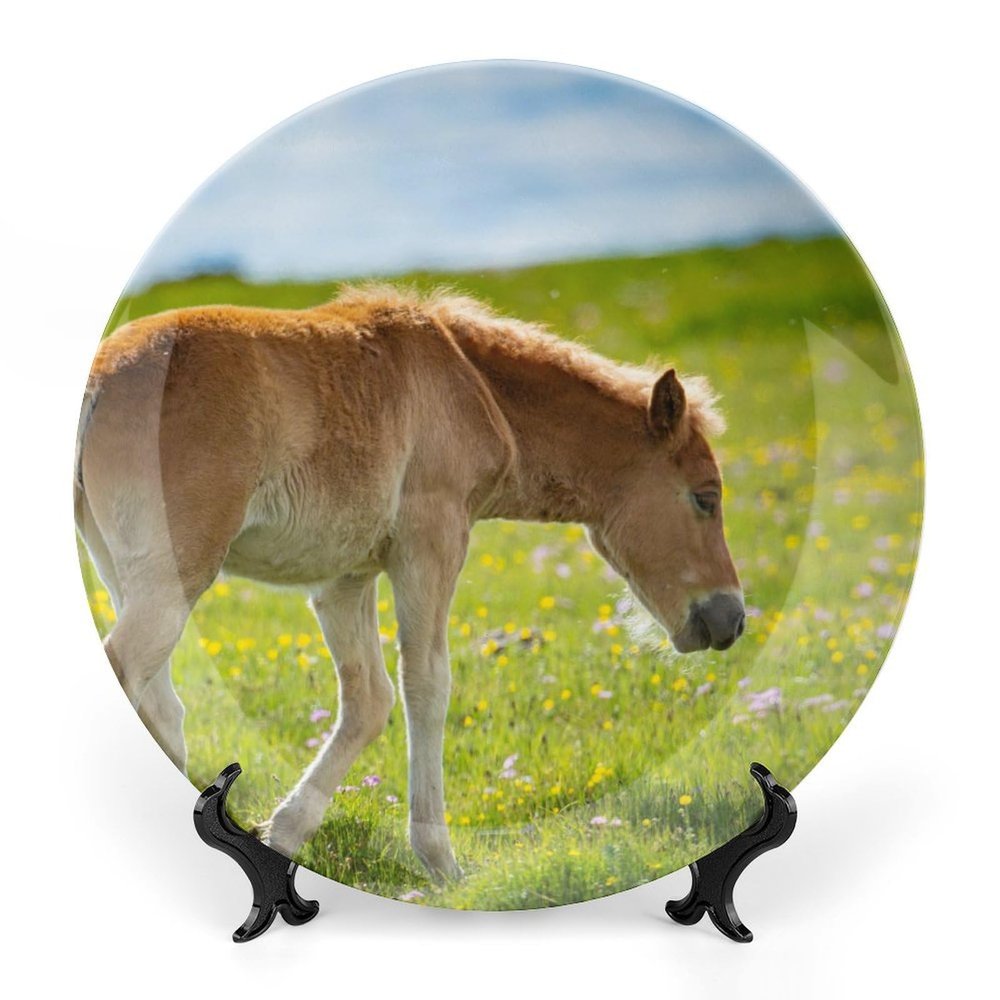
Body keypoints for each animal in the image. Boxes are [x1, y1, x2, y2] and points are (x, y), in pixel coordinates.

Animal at [75, 284, 745, 880]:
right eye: (705, 498)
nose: (731, 618)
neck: (471, 384)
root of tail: (99, 380)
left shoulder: (346, 577)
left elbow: (369, 700)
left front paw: (284, 831)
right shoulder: (432, 541)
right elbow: (427, 685)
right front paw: (441, 861)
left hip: (123, 573)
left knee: (163, 704)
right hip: (174, 581)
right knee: (132, 671)